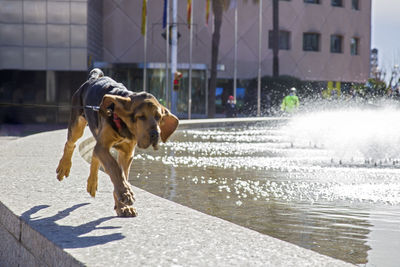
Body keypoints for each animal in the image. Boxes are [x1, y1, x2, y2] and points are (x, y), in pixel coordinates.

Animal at [55, 69, 178, 218]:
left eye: (159, 117)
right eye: (141, 117)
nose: (156, 135)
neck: (123, 126)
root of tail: (93, 78)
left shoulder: (127, 153)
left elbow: (122, 174)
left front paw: (123, 206)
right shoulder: (103, 147)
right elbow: (115, 169)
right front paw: (125, 193)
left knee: (94, 156)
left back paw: (92, 183)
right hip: (77, 124)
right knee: (70, 144)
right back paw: (64, 167)